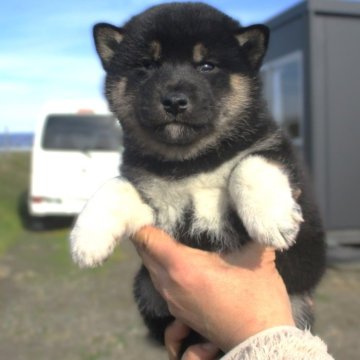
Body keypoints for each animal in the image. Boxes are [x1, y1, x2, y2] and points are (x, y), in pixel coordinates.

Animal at [70, 1, 326, 352]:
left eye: (206, 65)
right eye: (147, 65)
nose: (174, 101)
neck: (191, 163)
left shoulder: (305, 242)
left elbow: (251, 163)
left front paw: (273, 218)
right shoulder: (158, 208)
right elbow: (115, 186)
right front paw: (87, 240)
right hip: (146, 288)